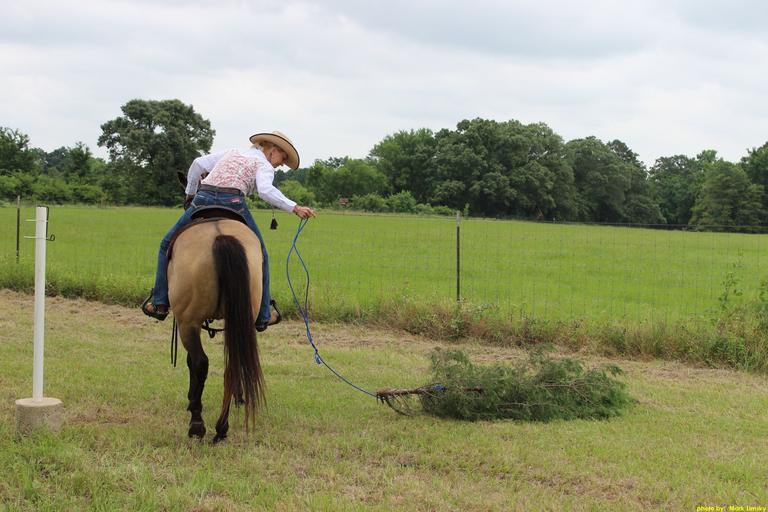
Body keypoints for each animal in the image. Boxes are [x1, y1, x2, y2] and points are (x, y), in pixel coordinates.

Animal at [167, 217, 266, 443]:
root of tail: (221, 236)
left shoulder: (188, 324)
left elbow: (192, 362)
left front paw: (191, 401)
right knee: (231, 366)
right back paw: (221, 428)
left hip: (188, 322)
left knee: (201, 363)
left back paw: (197, 426)